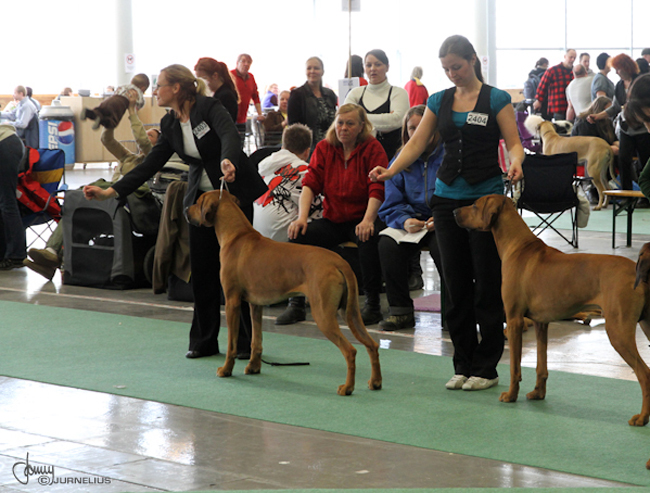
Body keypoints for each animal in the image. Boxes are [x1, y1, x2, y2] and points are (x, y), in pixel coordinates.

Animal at [184, 188, 380, 396]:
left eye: (198, 202)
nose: (186, 209)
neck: (237, 235)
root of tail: (340, 262)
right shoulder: (256, 304)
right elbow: (256, 340)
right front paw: (253, 367)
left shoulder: (232, 302)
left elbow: (232, 343)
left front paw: (226, 370)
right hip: (351, 312)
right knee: (372, 345)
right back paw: (376, 382)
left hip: (323, 314)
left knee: (350, 351)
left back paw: (347, 387)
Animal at [454, 196, 650, 426]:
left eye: (475, 205)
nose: (454, 212)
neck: (518, 246)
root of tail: (637, 271)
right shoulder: (541, 322)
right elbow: (541, 364)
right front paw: (538, 393)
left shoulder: (514, 320)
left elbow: (514, 367)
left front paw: (511, 395)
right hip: (645, 325)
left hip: (618, 329)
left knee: (644, 374)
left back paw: (642, 417)